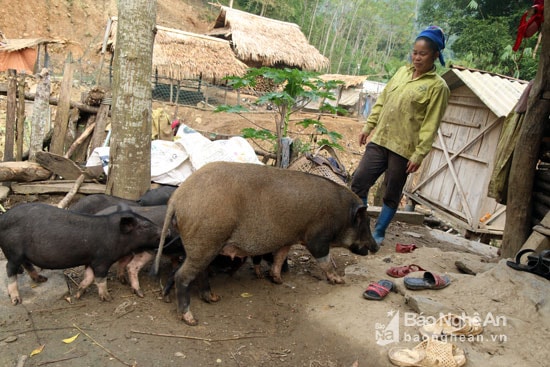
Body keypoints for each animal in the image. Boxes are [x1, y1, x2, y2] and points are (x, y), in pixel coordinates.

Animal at [155, 162, 380, 326]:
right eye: (365, 223)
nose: (376, 247)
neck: (342, 215)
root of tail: (177, 198)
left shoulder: (288, 238)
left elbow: (280, 256)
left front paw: (277, 280)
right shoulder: (317, 238)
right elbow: (323, 260)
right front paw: (339, 280)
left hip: (205, 245)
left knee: (199, 272)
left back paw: (213, 298)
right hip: (206, 239)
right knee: (183, 276)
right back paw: (191, 319)